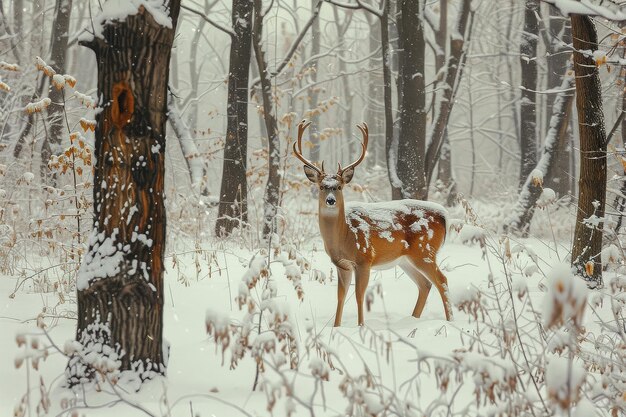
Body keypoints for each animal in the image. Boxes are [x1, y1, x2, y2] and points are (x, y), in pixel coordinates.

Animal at [292, 118, 448, 326]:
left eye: (339, 187)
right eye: (322, 186)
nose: (330, 200)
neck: (344, 237)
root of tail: (444, 217)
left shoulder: (364, 259)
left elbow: (359, 295)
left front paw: (361, 326)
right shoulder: (342, 264)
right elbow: (340, 296)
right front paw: (336, 327)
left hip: (425, 250)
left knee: (442, 280)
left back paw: (449, 320)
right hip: (406, 259)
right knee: (425, 285)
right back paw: (413, 319)